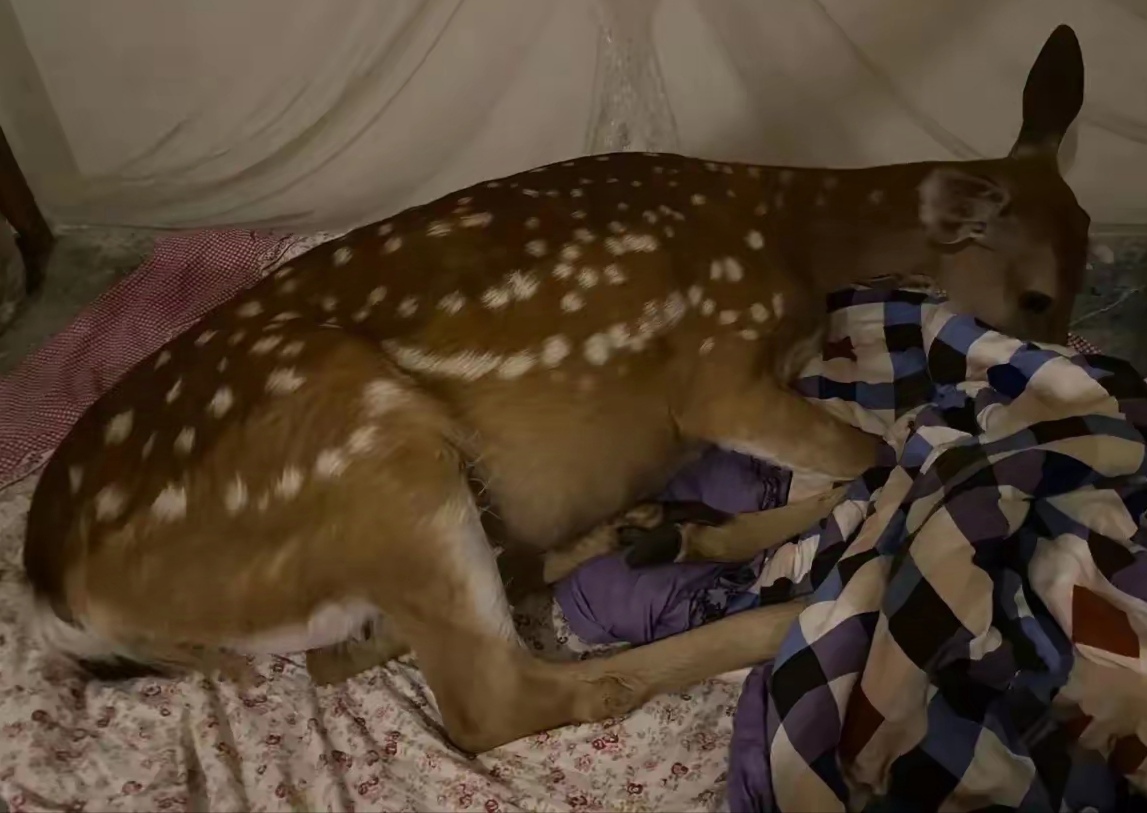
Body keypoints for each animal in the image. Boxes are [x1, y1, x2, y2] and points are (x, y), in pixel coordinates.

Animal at [21, 25, 1089, 753]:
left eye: (1081, 260)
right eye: (1037, 293)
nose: (1056, 348)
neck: (791, 234)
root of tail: (56, 591)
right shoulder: (716, 376)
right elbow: (873, 450)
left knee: (349, 654)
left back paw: (638, 533)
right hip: (367, 455)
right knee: (495, 700)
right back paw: (779, 617)